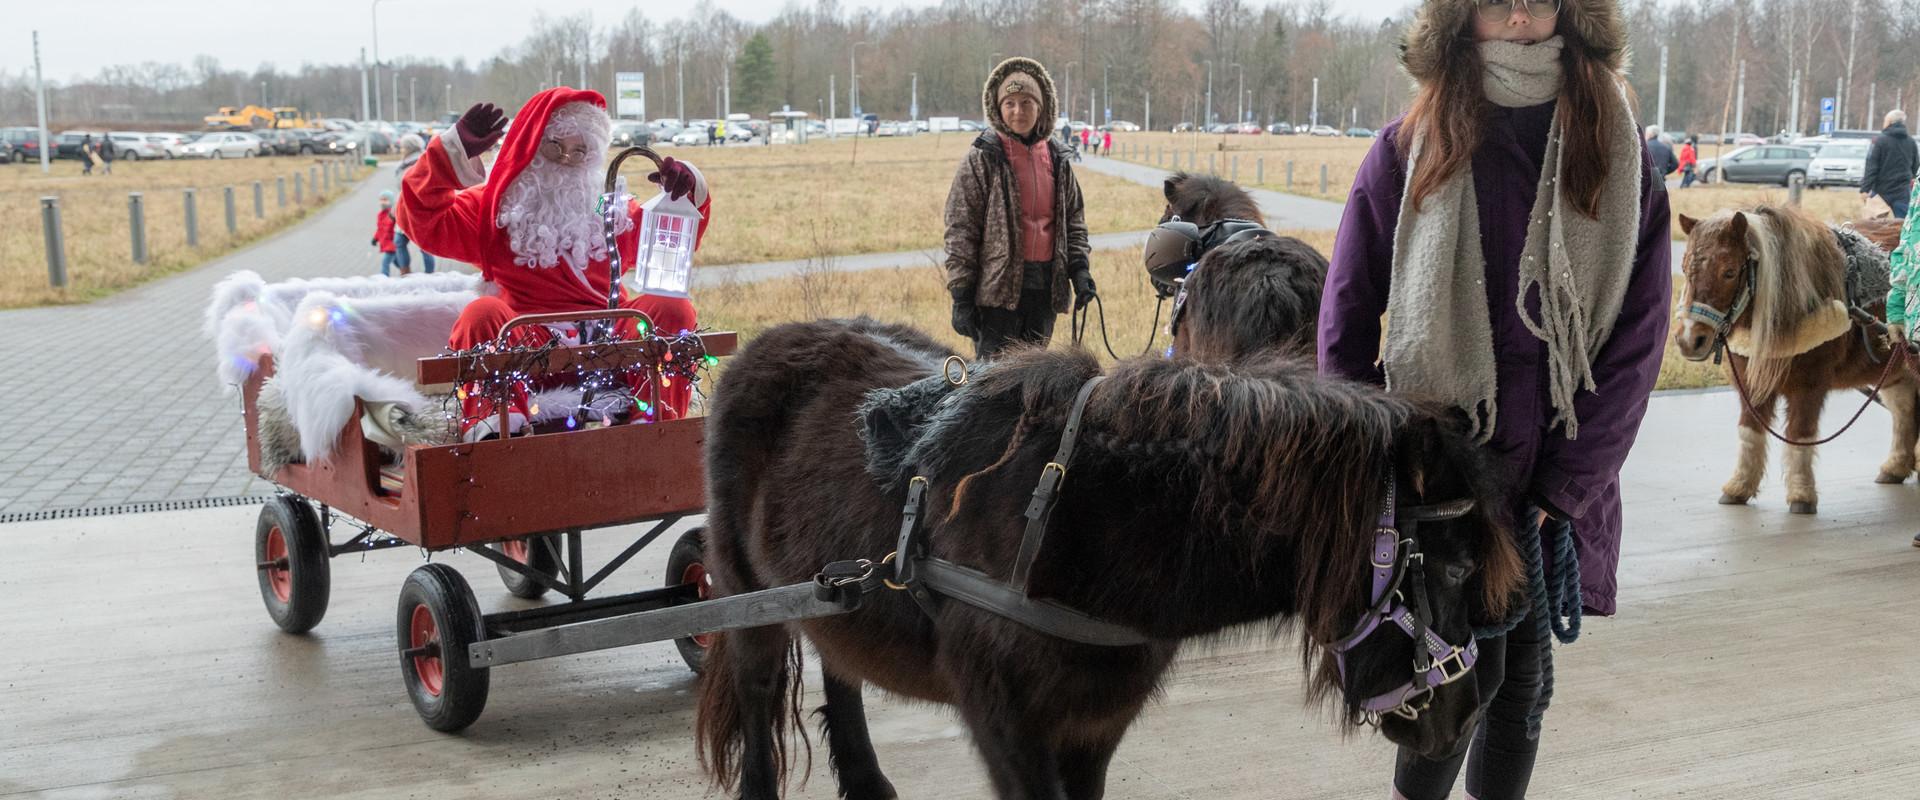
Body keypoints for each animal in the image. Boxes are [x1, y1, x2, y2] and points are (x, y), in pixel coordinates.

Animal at [698, 318, 1520, 798]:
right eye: (1454, 569)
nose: (1465, 717)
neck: (1070, 514)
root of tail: (754, 349)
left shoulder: (1095, 727)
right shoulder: (1009, 728)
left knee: (841, 667)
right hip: (748, 602)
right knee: (759, 693)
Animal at [1674, 205, 1912, 514]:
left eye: (1728, 272)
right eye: (1684, 267)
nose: (1689, 339)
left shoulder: (1809, 387)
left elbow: (1800, 434)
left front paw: (1801, 494)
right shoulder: (1751, 386)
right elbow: (1749, 431)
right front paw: (1739, 486)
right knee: (1904, 406)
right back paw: (1896, 466)